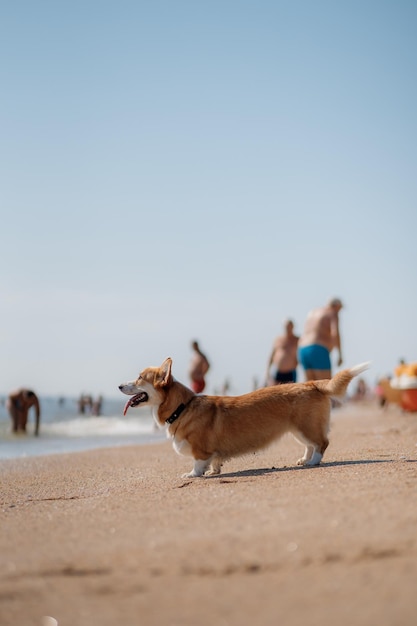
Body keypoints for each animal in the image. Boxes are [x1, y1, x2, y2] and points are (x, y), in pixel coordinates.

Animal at [118, 356, 368, 478]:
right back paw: (304, 460)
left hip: (306, 427)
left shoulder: (200, 450)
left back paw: (314, 462)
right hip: (298, 430)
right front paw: (214, 471)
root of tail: (313, 383)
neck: (182, 407)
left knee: (322, 443)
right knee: (310, 445)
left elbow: (198, 464)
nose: (119, 385)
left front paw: (193, 475)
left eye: (139, 378)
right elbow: (215, 461)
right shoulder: (213, 452)